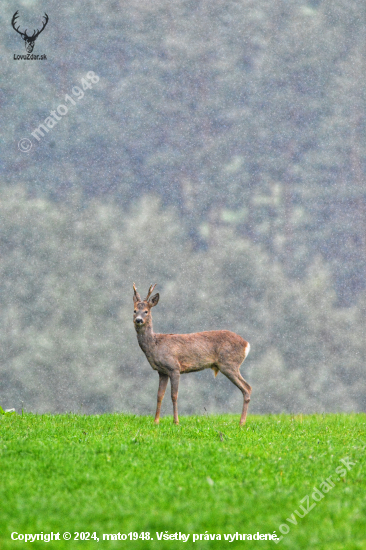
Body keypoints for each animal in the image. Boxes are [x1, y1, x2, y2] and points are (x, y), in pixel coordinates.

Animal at [134, 282, 252, 430]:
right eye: (134, 310)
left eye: (146, 311)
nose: (138, 320)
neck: (155, 345)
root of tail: (246, 344)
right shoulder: (162, 371)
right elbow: (159, 395)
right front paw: (156, 421)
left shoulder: (174, 367)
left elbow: (174, 395)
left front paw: (176, 421)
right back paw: (242, 422)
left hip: (229, 364)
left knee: (247, 388)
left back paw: (241, 423)